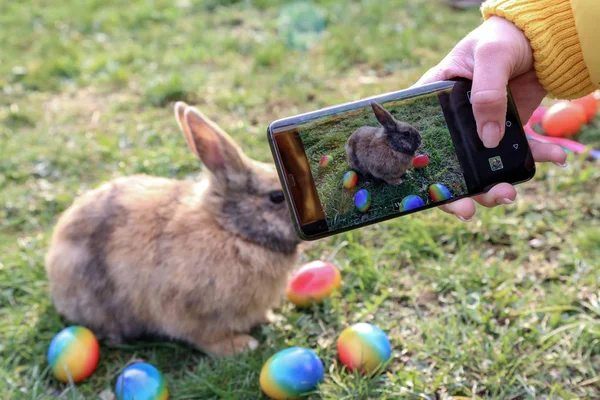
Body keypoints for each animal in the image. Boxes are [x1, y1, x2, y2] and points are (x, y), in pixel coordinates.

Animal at [44, 101, 302, 354]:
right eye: (277, 197)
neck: (231, 230)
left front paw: (272, 319)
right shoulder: (192, 312)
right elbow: (206, 338)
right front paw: (242, 346)